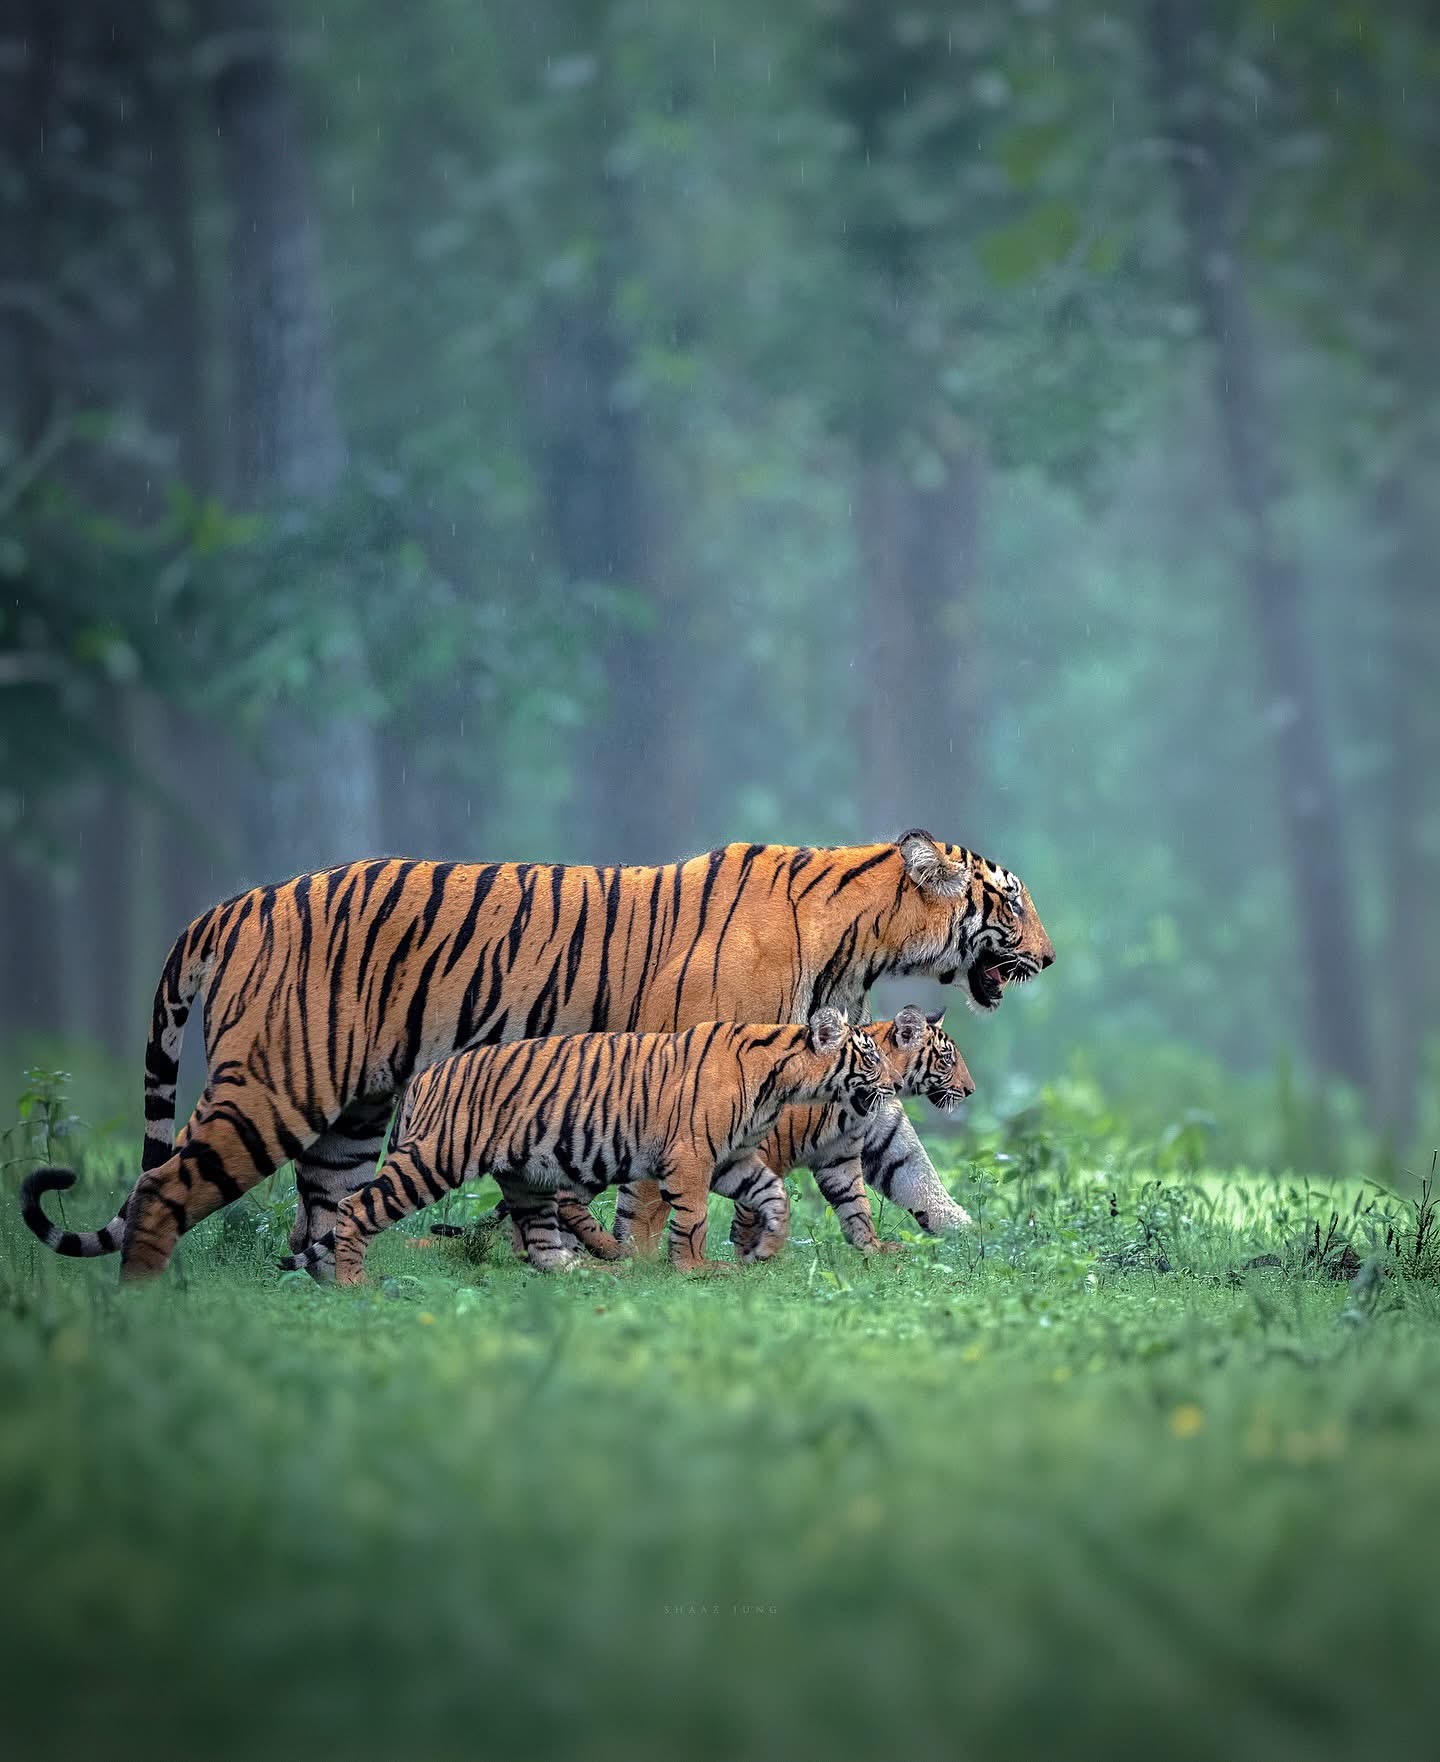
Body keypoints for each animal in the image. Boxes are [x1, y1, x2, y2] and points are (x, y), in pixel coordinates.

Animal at [278, 1008, 891, 1281]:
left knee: (541, 1239)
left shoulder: (732, 1158)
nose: (889, 1086)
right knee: (356, 1206)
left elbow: (773, 1196)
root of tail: (426, 1075)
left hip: (524, 1178)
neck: (785, 1082)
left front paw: (765, 1249)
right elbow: (692, 1218)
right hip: (435, 1158)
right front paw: (696, 1268)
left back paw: (581, 1269)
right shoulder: (692, 1157)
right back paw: (353, 1283)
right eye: (871, 1056)